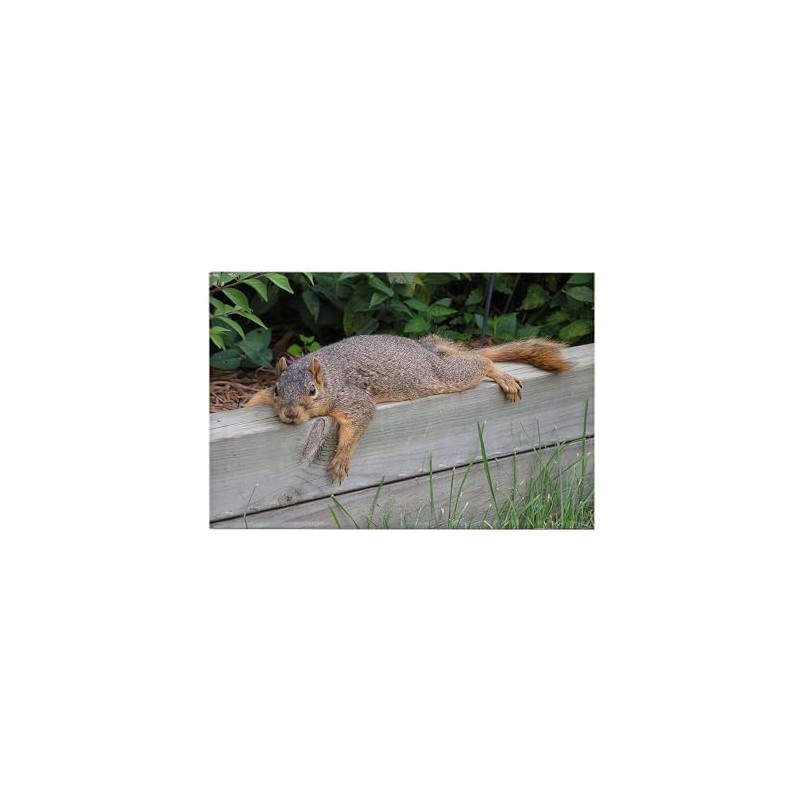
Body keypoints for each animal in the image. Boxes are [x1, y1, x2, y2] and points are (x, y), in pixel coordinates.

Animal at [245, 334, 569, 484]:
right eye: (277, 390)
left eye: (312, 391)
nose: (290, 415)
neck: (330, 379)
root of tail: (427, 352)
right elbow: (258, 398)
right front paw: (249, 402)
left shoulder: (353, 399)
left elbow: (357, 422)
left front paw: (340, 459)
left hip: (447, 377)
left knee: (481, 363)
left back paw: (500, 375)